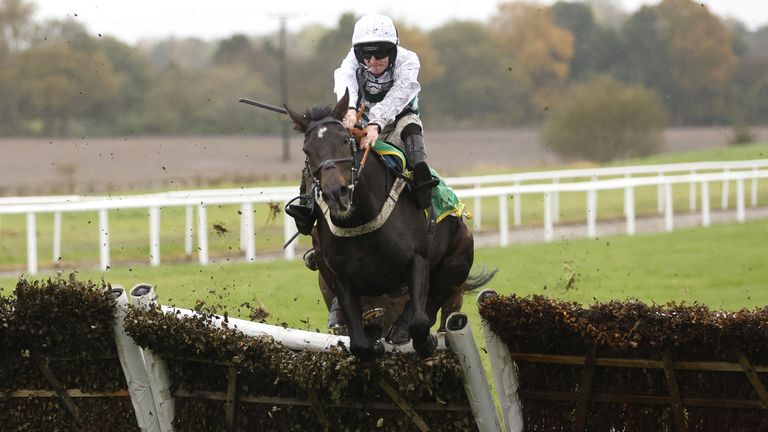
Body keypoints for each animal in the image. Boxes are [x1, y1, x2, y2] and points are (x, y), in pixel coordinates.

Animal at [284, 93, 488, 360]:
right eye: (307, 151)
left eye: (345, 140)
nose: (336, 194)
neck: (361, 221)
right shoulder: (340, 279)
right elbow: (359, 343)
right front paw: (373, 344)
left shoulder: (417, 260)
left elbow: (420, 321)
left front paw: (422, 341)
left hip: (458, 262)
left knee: (436, 307)